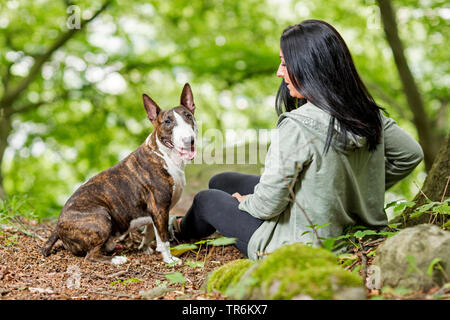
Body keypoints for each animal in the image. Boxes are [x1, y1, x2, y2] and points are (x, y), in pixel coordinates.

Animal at [39, 83, 198, 264]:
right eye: (167, 121)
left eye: (188, 116)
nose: (189, 140)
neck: (163, 155)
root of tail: (58, 227)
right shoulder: (159, 208)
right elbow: (163, 238)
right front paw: (169, 259)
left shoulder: (154, 212)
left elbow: (150, 232)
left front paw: (145, 249)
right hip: (101, 217)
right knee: (90, 256)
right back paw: (117, 260)